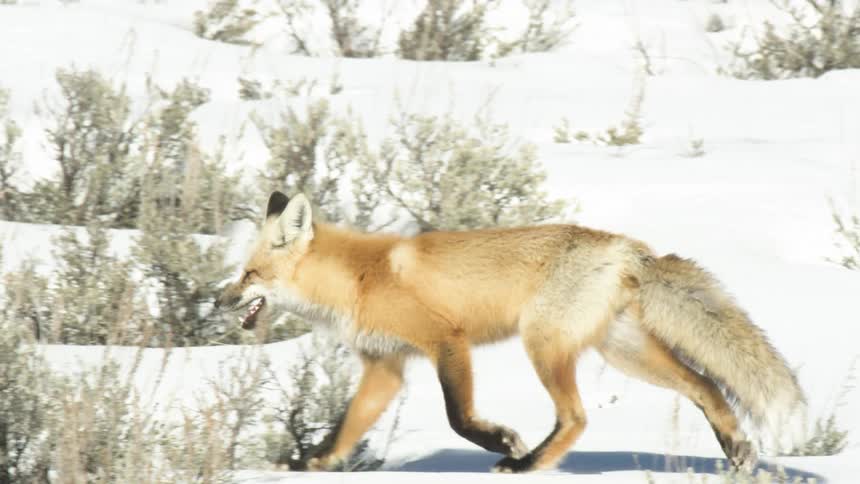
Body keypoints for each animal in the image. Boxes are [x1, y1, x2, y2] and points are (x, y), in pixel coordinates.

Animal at [216, 191, 806, 473]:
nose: (218, 301)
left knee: (576, 418)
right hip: (623, 353)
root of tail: (629, 248)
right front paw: (309, 465)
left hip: (543, 345)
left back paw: (527, 464)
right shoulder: (385, 367)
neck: (359, 278)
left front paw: (502, 439)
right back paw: (736, 451)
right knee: (705, 385)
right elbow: (344, 430)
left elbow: (458, 418)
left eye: (249, 274)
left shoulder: (446, 341)